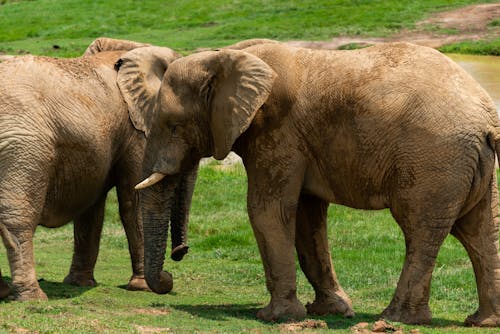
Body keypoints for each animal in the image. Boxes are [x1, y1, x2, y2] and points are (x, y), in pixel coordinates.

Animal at [125, 41, 500, 326]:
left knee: (420, 230)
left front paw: (274, 317)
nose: (173, 269)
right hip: (467, 164)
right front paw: (329, 310)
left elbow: (266, 211)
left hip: (434, 161)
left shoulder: (278, 132)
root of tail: (485, 117)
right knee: (478, 231)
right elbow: (306, 217)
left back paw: (397, 318)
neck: (226, 55)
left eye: (174, 125)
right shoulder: (298, 143)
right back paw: (480, 321)